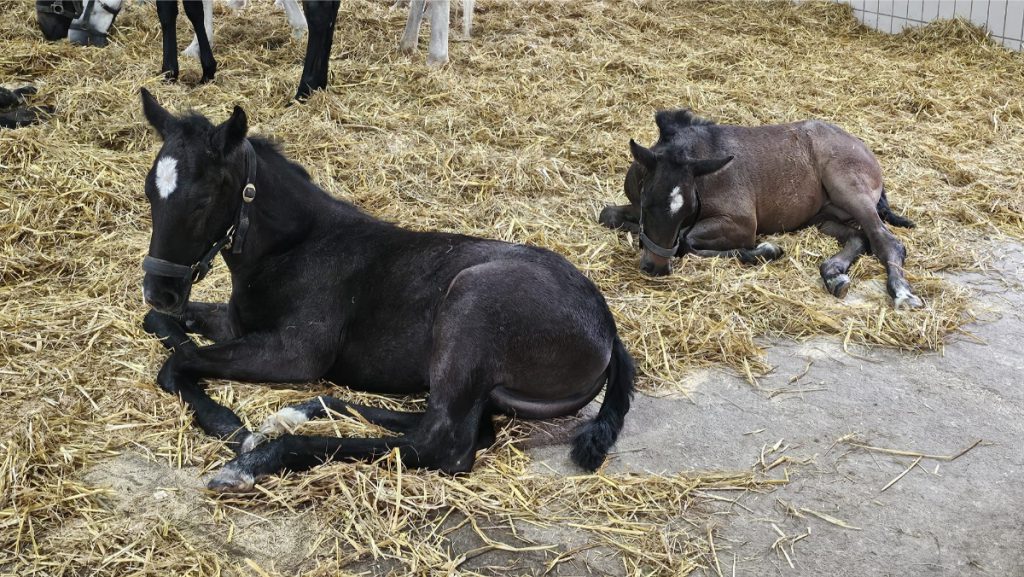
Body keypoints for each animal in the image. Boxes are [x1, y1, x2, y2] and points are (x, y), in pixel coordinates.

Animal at [137, 88, 634, 491]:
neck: (294, 247)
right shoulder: (236, 323)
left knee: (442, 444)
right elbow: (162, 328)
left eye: (202, 200)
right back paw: (294, 414)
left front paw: (228, 424)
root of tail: (609, 331)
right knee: (458, 426)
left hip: (470, 307)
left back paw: (259, 459)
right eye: (148, 192)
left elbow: (178, 360)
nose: (160, 288)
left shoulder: (294, 352)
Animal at [599, 109, 923, 309]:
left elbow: (687, 241)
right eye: (648, 201)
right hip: (824, 216)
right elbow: (607, 215)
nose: (655, 268)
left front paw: (766, 249)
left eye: (688, 207)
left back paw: (903, 294)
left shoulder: (742, 223)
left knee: (886, 241)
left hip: (850, 190)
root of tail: (864, 149)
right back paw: (834, 275)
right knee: (859, 237)